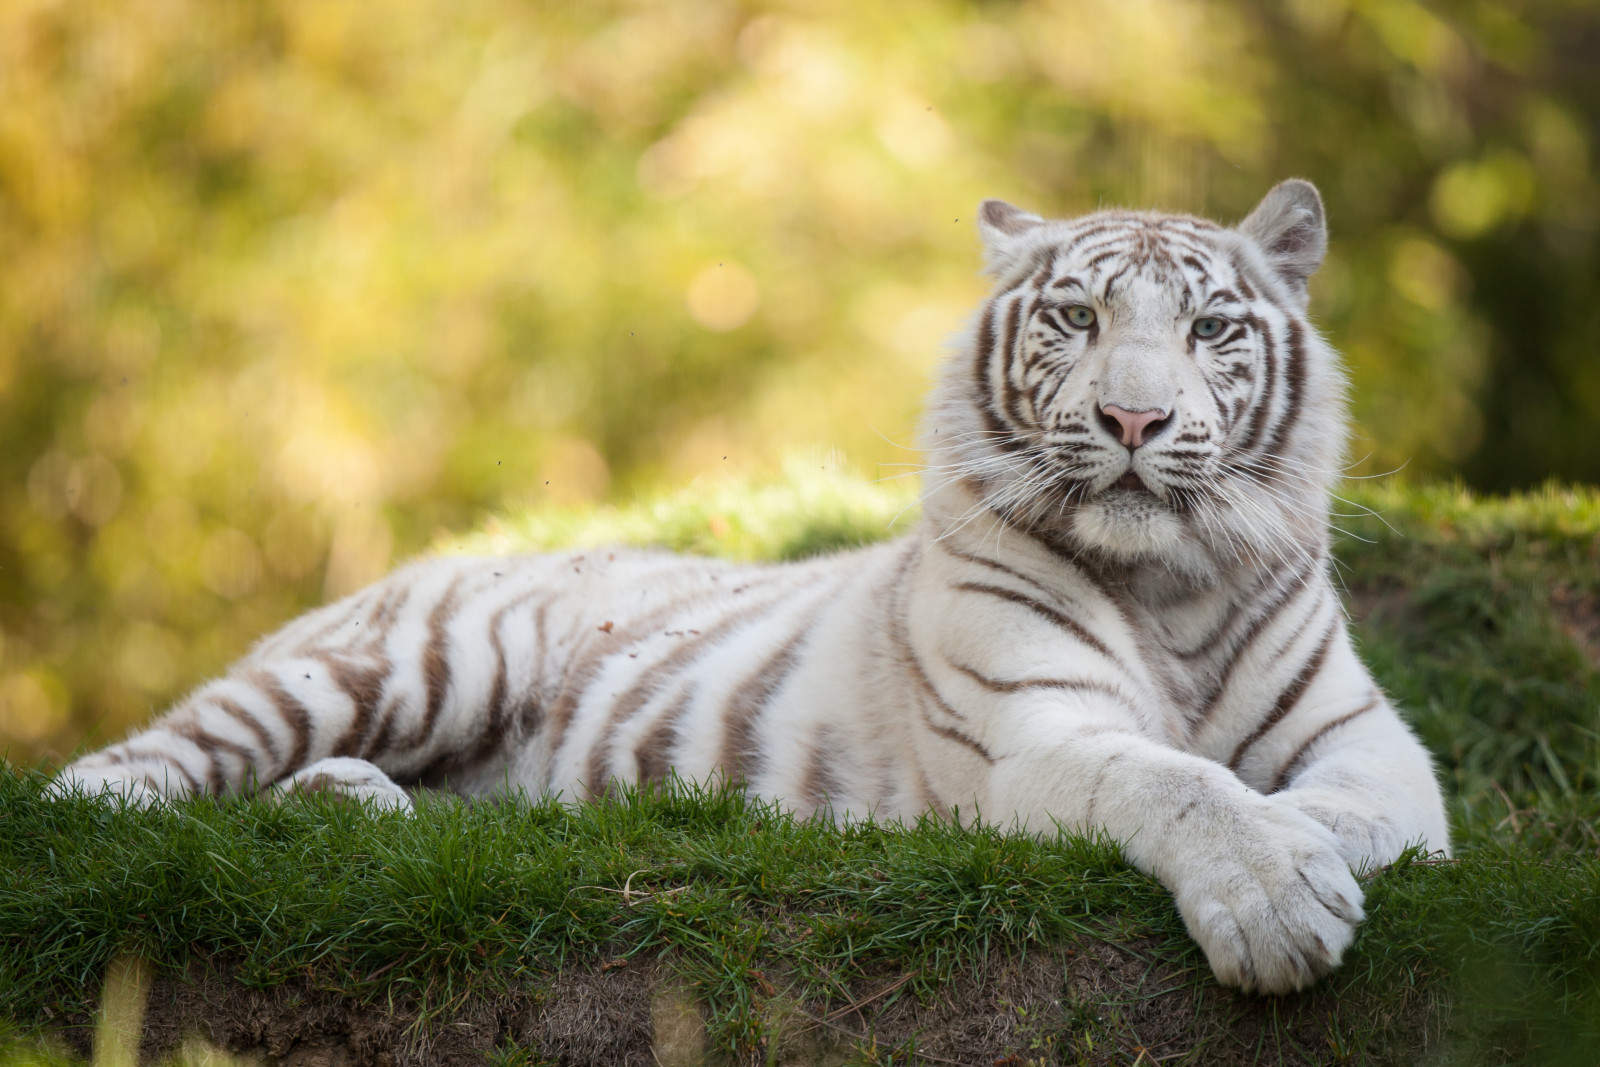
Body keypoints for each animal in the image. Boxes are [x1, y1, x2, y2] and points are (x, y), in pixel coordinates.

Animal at [53, 181, 1452, 991]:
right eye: (1074, 318)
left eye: (1211, 327)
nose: (1132, 416)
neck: (1169, 589)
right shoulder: (1032, 735)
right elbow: (1175, 780)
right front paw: (1273, 894)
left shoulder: (1374, 747)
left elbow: (1348, 809)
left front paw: (1307, 854)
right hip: (408, 663)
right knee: (129, 773)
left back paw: (354, 807)